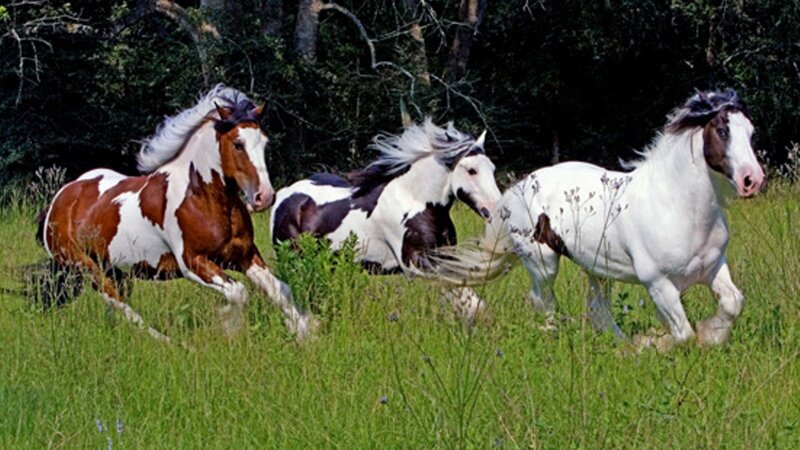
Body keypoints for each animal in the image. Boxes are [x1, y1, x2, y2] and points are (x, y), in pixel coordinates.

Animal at [38, 85, 316, 341]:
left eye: (264, 143)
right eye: (238, 144)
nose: (264, 197)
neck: (202, 198)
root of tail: (59, 200)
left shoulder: (245, 256)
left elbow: (279, 290)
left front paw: (305, 333)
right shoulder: (192, 262)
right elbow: (239, 293)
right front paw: (229, 330)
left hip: (116, 270)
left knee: (114, 308)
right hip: (85, 267)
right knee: (119, 304)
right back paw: (167, 342)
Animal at [269, 119, 503, 318]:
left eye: (492, 168)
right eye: (471, 170)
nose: (497, 209)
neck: (416, 201)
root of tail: (283, 195)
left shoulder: (444, 255)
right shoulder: (416, 264)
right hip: (294, 259)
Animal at [428, 90, 764, 348]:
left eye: (751, 132)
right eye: (722, 131)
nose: (752, 180)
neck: (678, 208)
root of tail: (516, 191)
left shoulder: (713, 267)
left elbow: (732, 303)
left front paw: (712, 336)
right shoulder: (658, 283)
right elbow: (683, 334)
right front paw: (656, 344)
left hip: (598, 269)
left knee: (597, 309)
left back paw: (621, 346)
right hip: (543, 262)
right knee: (542, 300)